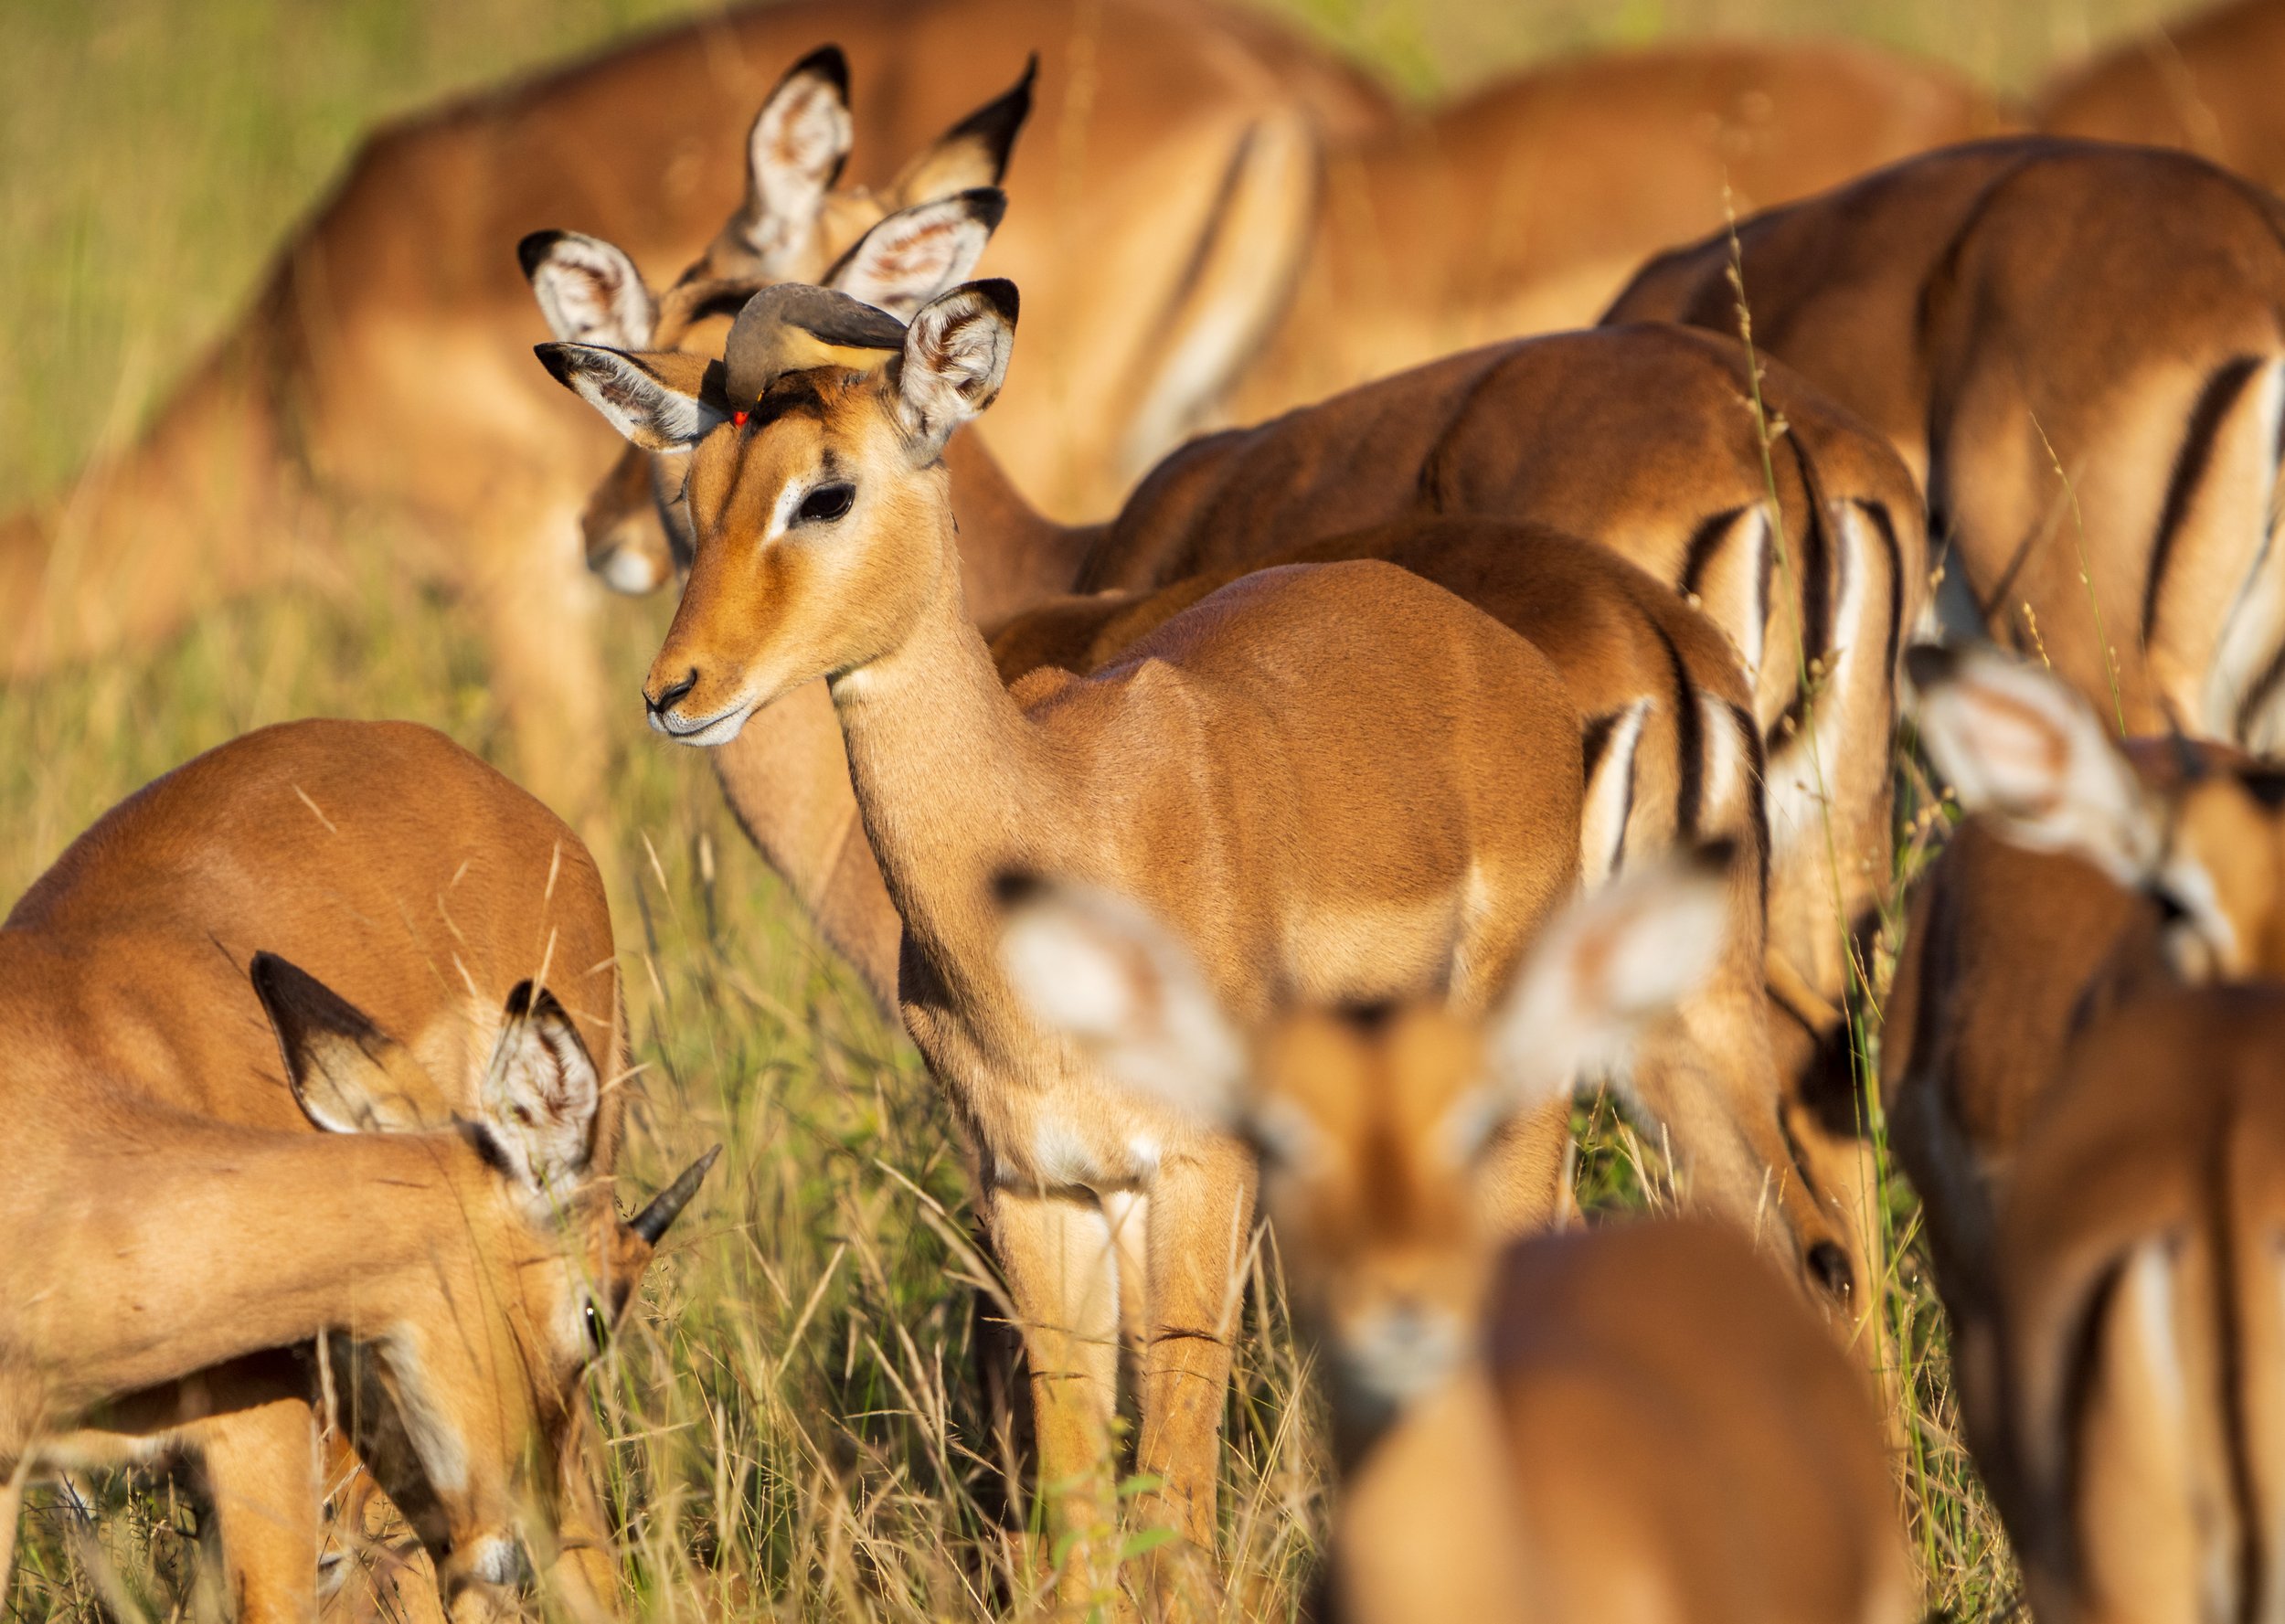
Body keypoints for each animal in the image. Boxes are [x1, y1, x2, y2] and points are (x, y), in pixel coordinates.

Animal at [535, 276, 1591, 1598]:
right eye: (696, 493)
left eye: (825, 489)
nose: (675, 690)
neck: (1062, 824)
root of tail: (1509, 663)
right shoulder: (1041, 1191)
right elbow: (1085, 1524)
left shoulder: (1198, 1170)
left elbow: (1178, 1525)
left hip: (1512, 1105)